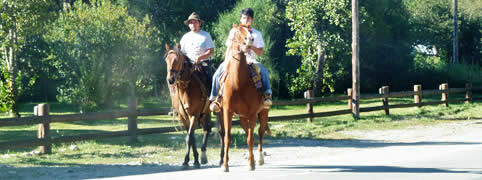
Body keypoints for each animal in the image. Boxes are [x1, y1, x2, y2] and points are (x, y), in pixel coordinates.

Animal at [219, 23, 272, 172]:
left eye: (250, 31)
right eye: (237, 32)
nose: (250, 40)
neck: (238, 82)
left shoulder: (253, 113)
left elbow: (250, 138)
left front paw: (251, 163)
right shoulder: (227, 111)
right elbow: (228, 138)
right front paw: (225, 165)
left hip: (263, 112)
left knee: (260, 133)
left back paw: (259, 158)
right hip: (242, 117)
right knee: (248, 131)